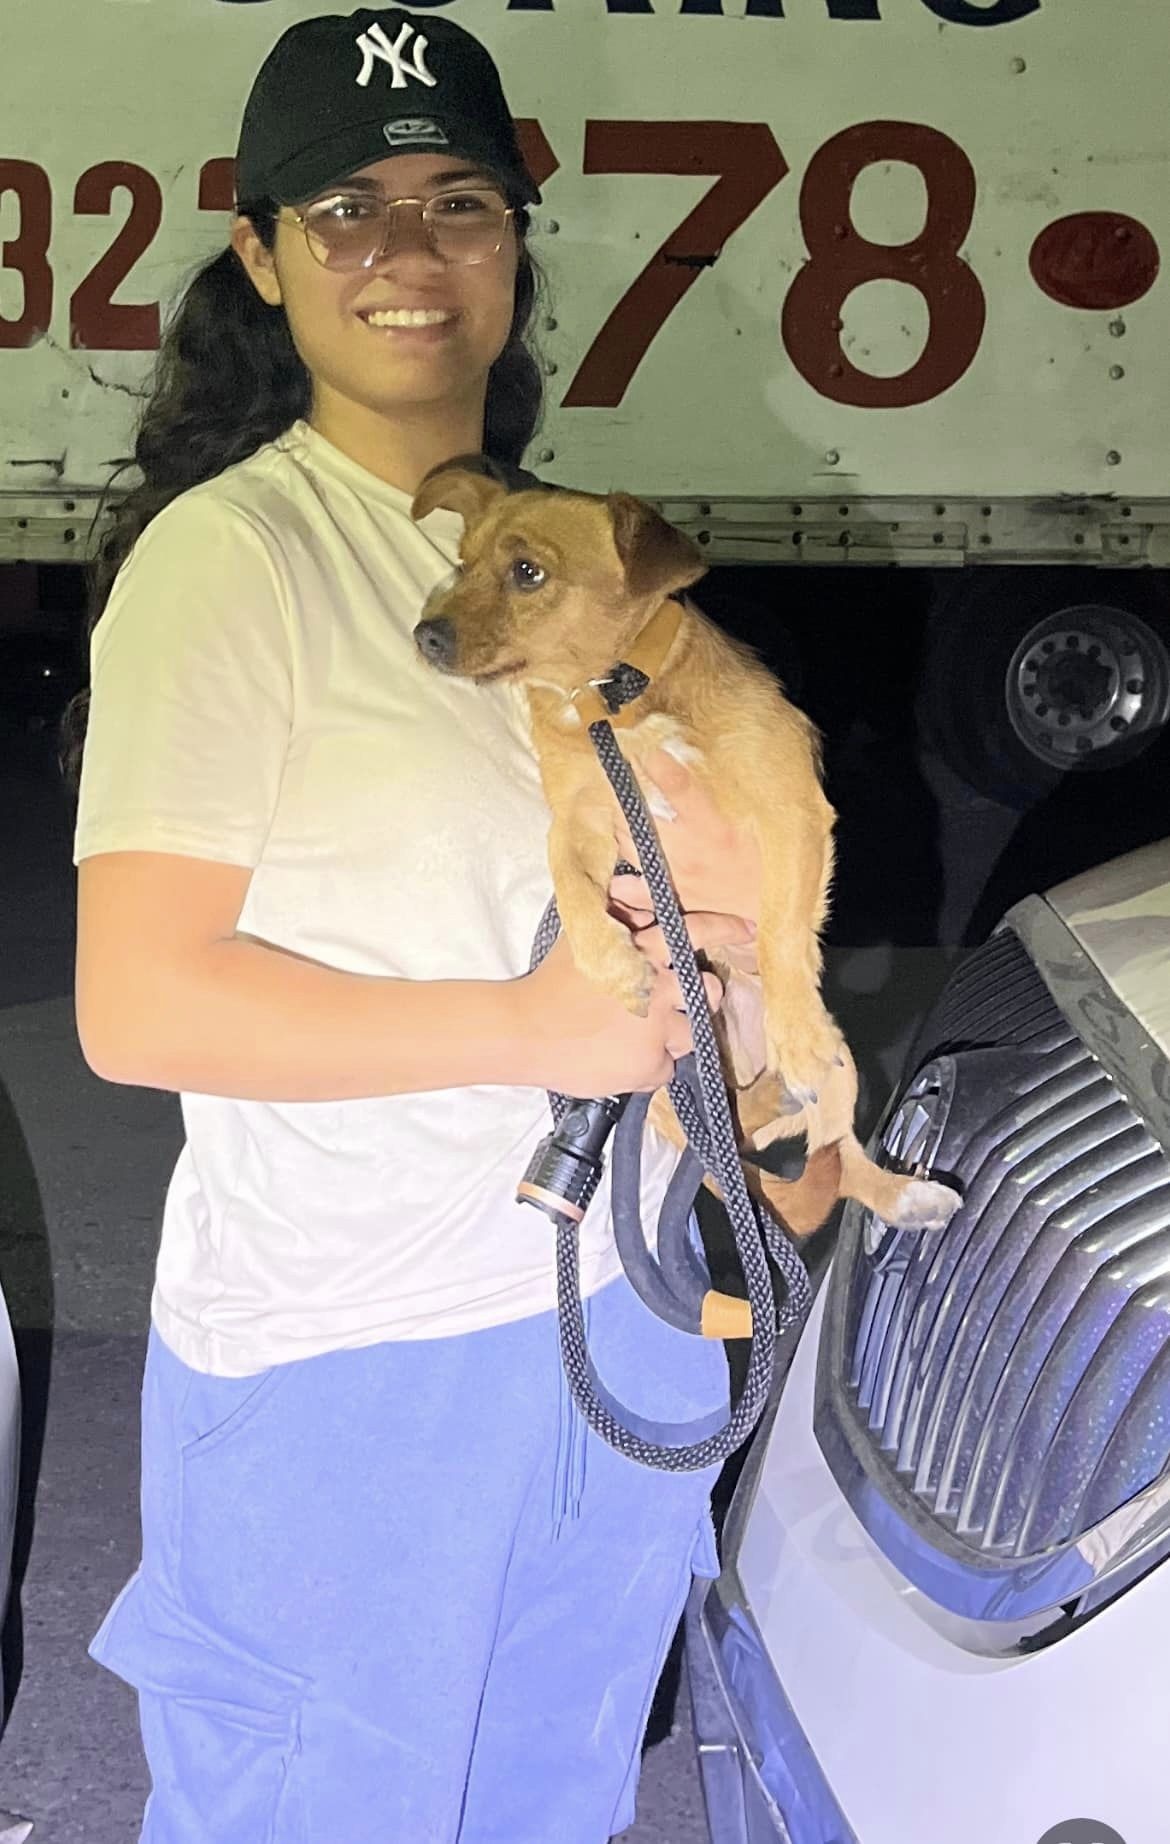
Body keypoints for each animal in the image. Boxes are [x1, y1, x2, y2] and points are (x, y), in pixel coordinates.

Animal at [409, 468, 959, 1261]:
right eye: (461, 561)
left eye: (527, 572)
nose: (424, 634)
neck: (609, 701)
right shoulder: (581, 824)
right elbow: (570, 888)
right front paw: (613, 965)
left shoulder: (788, 807)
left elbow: (784, 934)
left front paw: (796, 1030)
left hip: (845, 1066)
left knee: (838, 1150)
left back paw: (890, 1181)